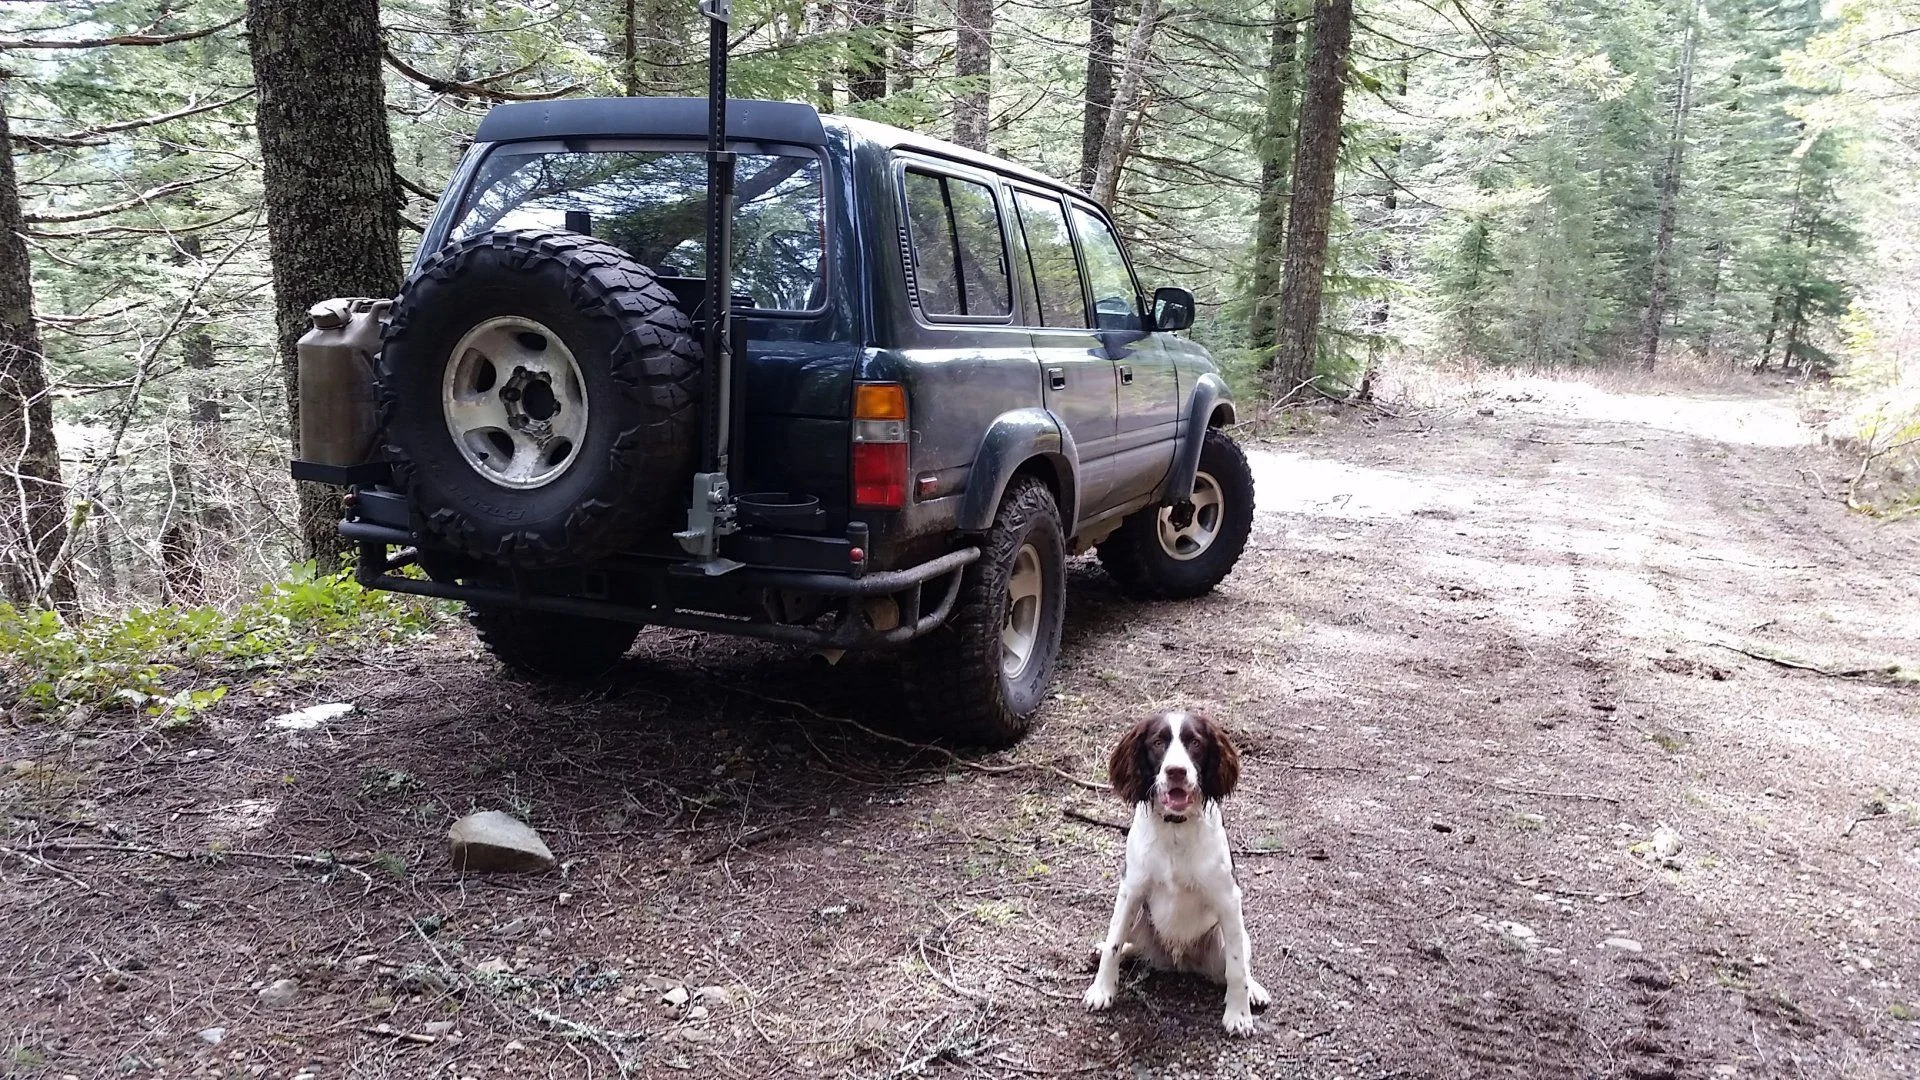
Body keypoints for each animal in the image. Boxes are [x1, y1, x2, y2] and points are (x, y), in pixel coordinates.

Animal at [1090, 711, 1267, 1030]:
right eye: (1158, 742)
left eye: (1195, 743)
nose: (1176, 772)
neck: (1175, 827)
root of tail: (1177, 960)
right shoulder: (1130, 890)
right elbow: (1113, 943)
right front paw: (1101, 990)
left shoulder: (1228, 898)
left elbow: (1236, 967)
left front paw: (1238, 1014)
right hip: (1141, 918)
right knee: (1129, 944)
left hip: (1221, 937)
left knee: (1240, 961)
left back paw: (1254, 990)